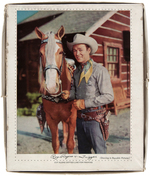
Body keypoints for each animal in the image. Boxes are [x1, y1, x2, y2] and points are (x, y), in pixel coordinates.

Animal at [34, 25, 77, 153]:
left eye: (61, 52)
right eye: (40, 53)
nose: (52, 86)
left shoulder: (72, 118)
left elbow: (70, 144)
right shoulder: (51, 120)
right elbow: (55, 144)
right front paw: (61, 143)